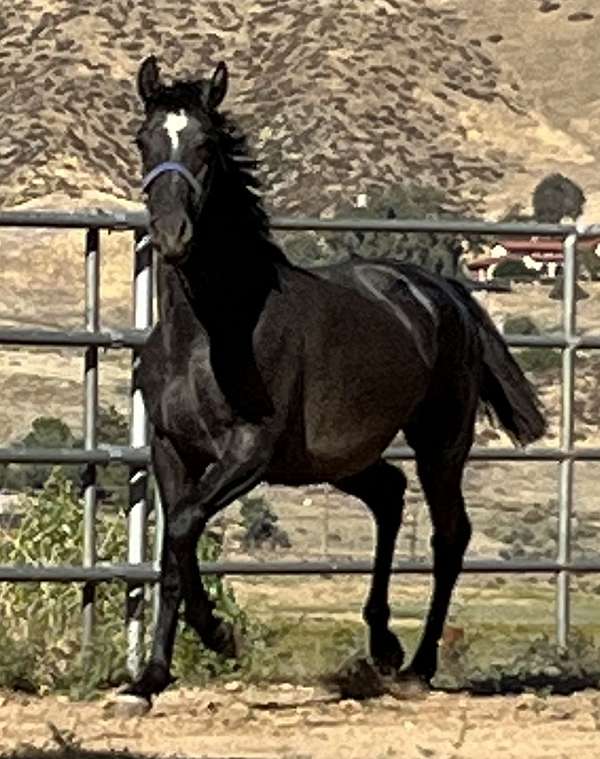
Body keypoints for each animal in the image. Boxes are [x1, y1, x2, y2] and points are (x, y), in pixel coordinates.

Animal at [123, 56, 548, 708]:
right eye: (145, 140)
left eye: (206, 145)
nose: (172, 235)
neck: (208, 332)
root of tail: (443, 291)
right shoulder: (172, 451)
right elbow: (174, 546)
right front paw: (150, 678)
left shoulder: (249, 451)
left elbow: (187, 525)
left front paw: (219, 636)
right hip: (339, 458)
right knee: (391, 495)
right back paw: (383, 645)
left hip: (440, 444)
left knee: (449, 535)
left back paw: (418, 666)